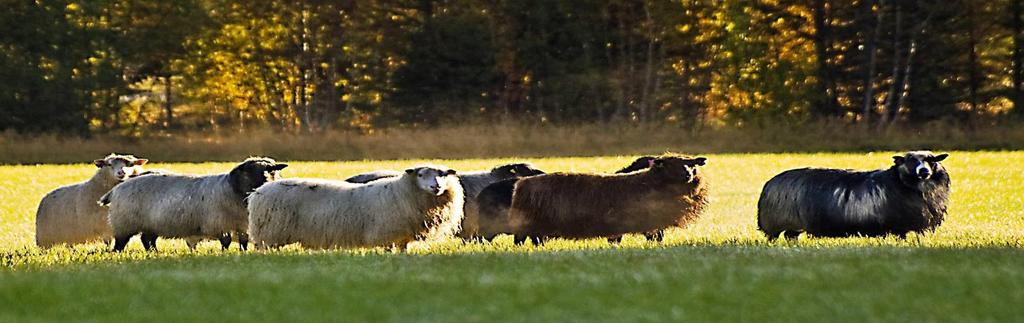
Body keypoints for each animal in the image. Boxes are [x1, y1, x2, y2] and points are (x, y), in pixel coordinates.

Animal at [102, 157, 286, 252]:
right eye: (249, 172)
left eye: (272, 171)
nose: (266, 182)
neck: (233, 190)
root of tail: (116, 189)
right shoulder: (221, 224)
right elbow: (226, 242)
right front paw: (225, 253)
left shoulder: (241, 225)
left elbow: (243, 242)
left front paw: (243, 253)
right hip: (124, 223)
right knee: (121, 242)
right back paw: (118, 254)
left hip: (151, 223)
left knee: (147, 240)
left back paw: (154, 253)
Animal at [249, 164, 466, 250]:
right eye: (421, 174)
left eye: (442, 175)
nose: (436, 187)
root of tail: (257, 192)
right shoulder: (386, 233)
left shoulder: (401, 236)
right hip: (270, 233)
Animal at [753, 150, 950, 238]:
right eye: (910, 160)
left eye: (931, 160)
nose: (924, 171)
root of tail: (770, 183)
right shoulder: (898, 223)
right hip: (775, 222)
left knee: (790, 235)